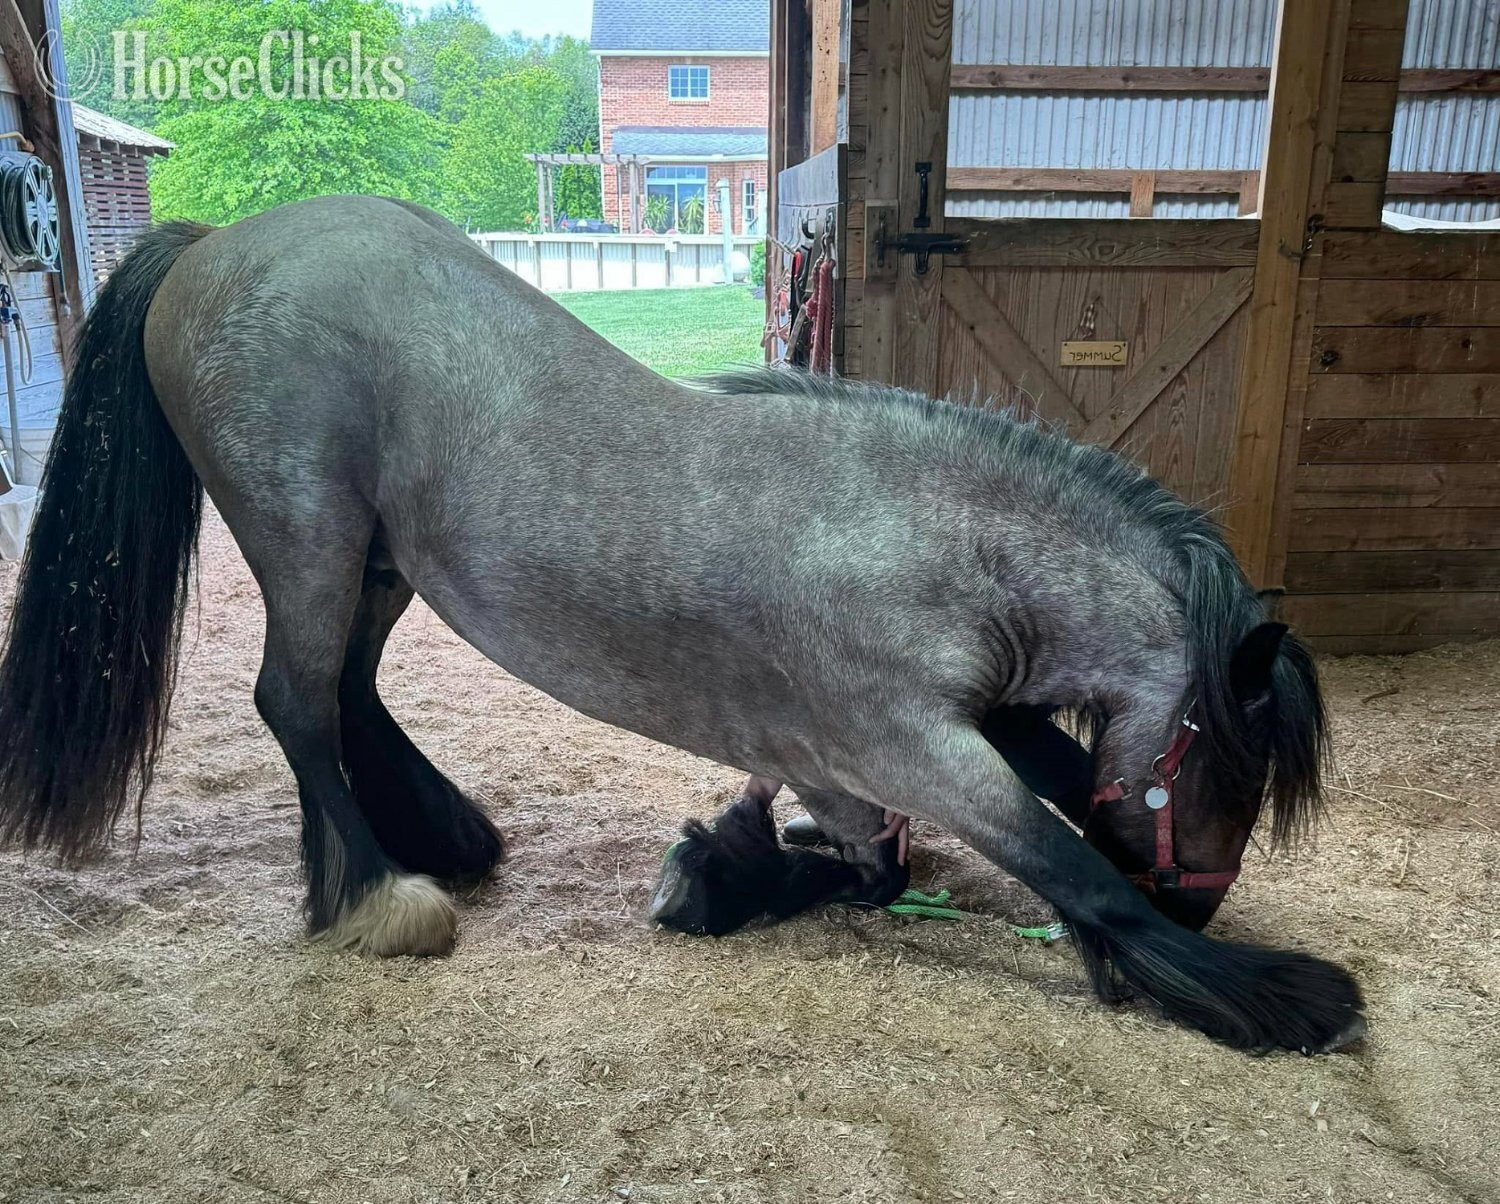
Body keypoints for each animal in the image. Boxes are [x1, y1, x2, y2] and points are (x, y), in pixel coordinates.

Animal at [0, 195, 1363, 1054]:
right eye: (1235, 769)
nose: (1201, 911)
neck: (914, 538)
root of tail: (216, 243)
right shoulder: (910, 745)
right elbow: (1062, 862)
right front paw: (1275, 995)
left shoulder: (901, 747)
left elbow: (888, 868)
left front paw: (726, 867)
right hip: (307, 533)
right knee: (291, 701)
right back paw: (387, 896)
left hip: (380, 562)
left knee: (342, 695)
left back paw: (438, 838)